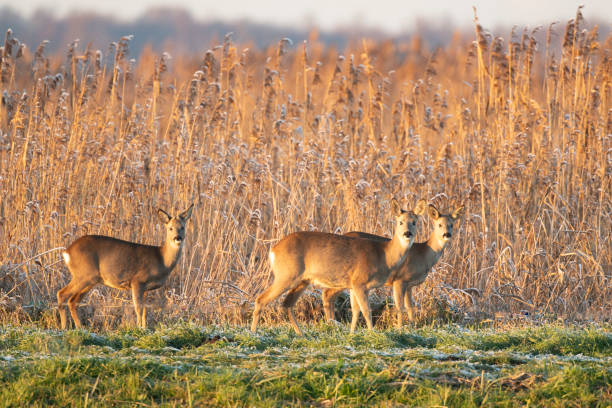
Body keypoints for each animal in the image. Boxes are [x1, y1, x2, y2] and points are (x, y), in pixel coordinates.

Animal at [56, 204, 194, 328]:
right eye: (170, 228)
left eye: (182, 227)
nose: (177, 238)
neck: (161, 259)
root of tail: (67, 252)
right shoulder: (137, 281)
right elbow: (138, 308)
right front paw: (138, 328)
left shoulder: (146, 288)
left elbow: (145, 310)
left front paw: (145, 328)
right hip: (84, 274)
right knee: (62, 294)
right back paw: (64, 327)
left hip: (90, 279)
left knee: (73, 301)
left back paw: (80, 328)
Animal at [249, 198, 426, 334]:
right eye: (400, 222)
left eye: (414, 222)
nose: (407, 233)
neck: (384, 255)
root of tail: (273, 250)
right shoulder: (359, 281)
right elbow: (366, 310)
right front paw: (373, 334)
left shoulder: (354, 285)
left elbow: (356, 310)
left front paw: (352, 334)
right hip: (286, 275)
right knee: (261, 299)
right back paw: (253, 333)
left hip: (302, 280)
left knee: (287, 304)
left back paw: (301, 334)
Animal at [322, 203, 462, 328]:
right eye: (439, 224)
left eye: (451, 225)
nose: (447, 234)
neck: (423, 254)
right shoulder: (400, 279)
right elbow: (400, 307)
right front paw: (400, 329)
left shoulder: (410, 285)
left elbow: (410, 307)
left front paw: (413, 327)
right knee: (327, 293)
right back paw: (332, 324)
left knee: (329, 294)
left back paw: (332, 324)